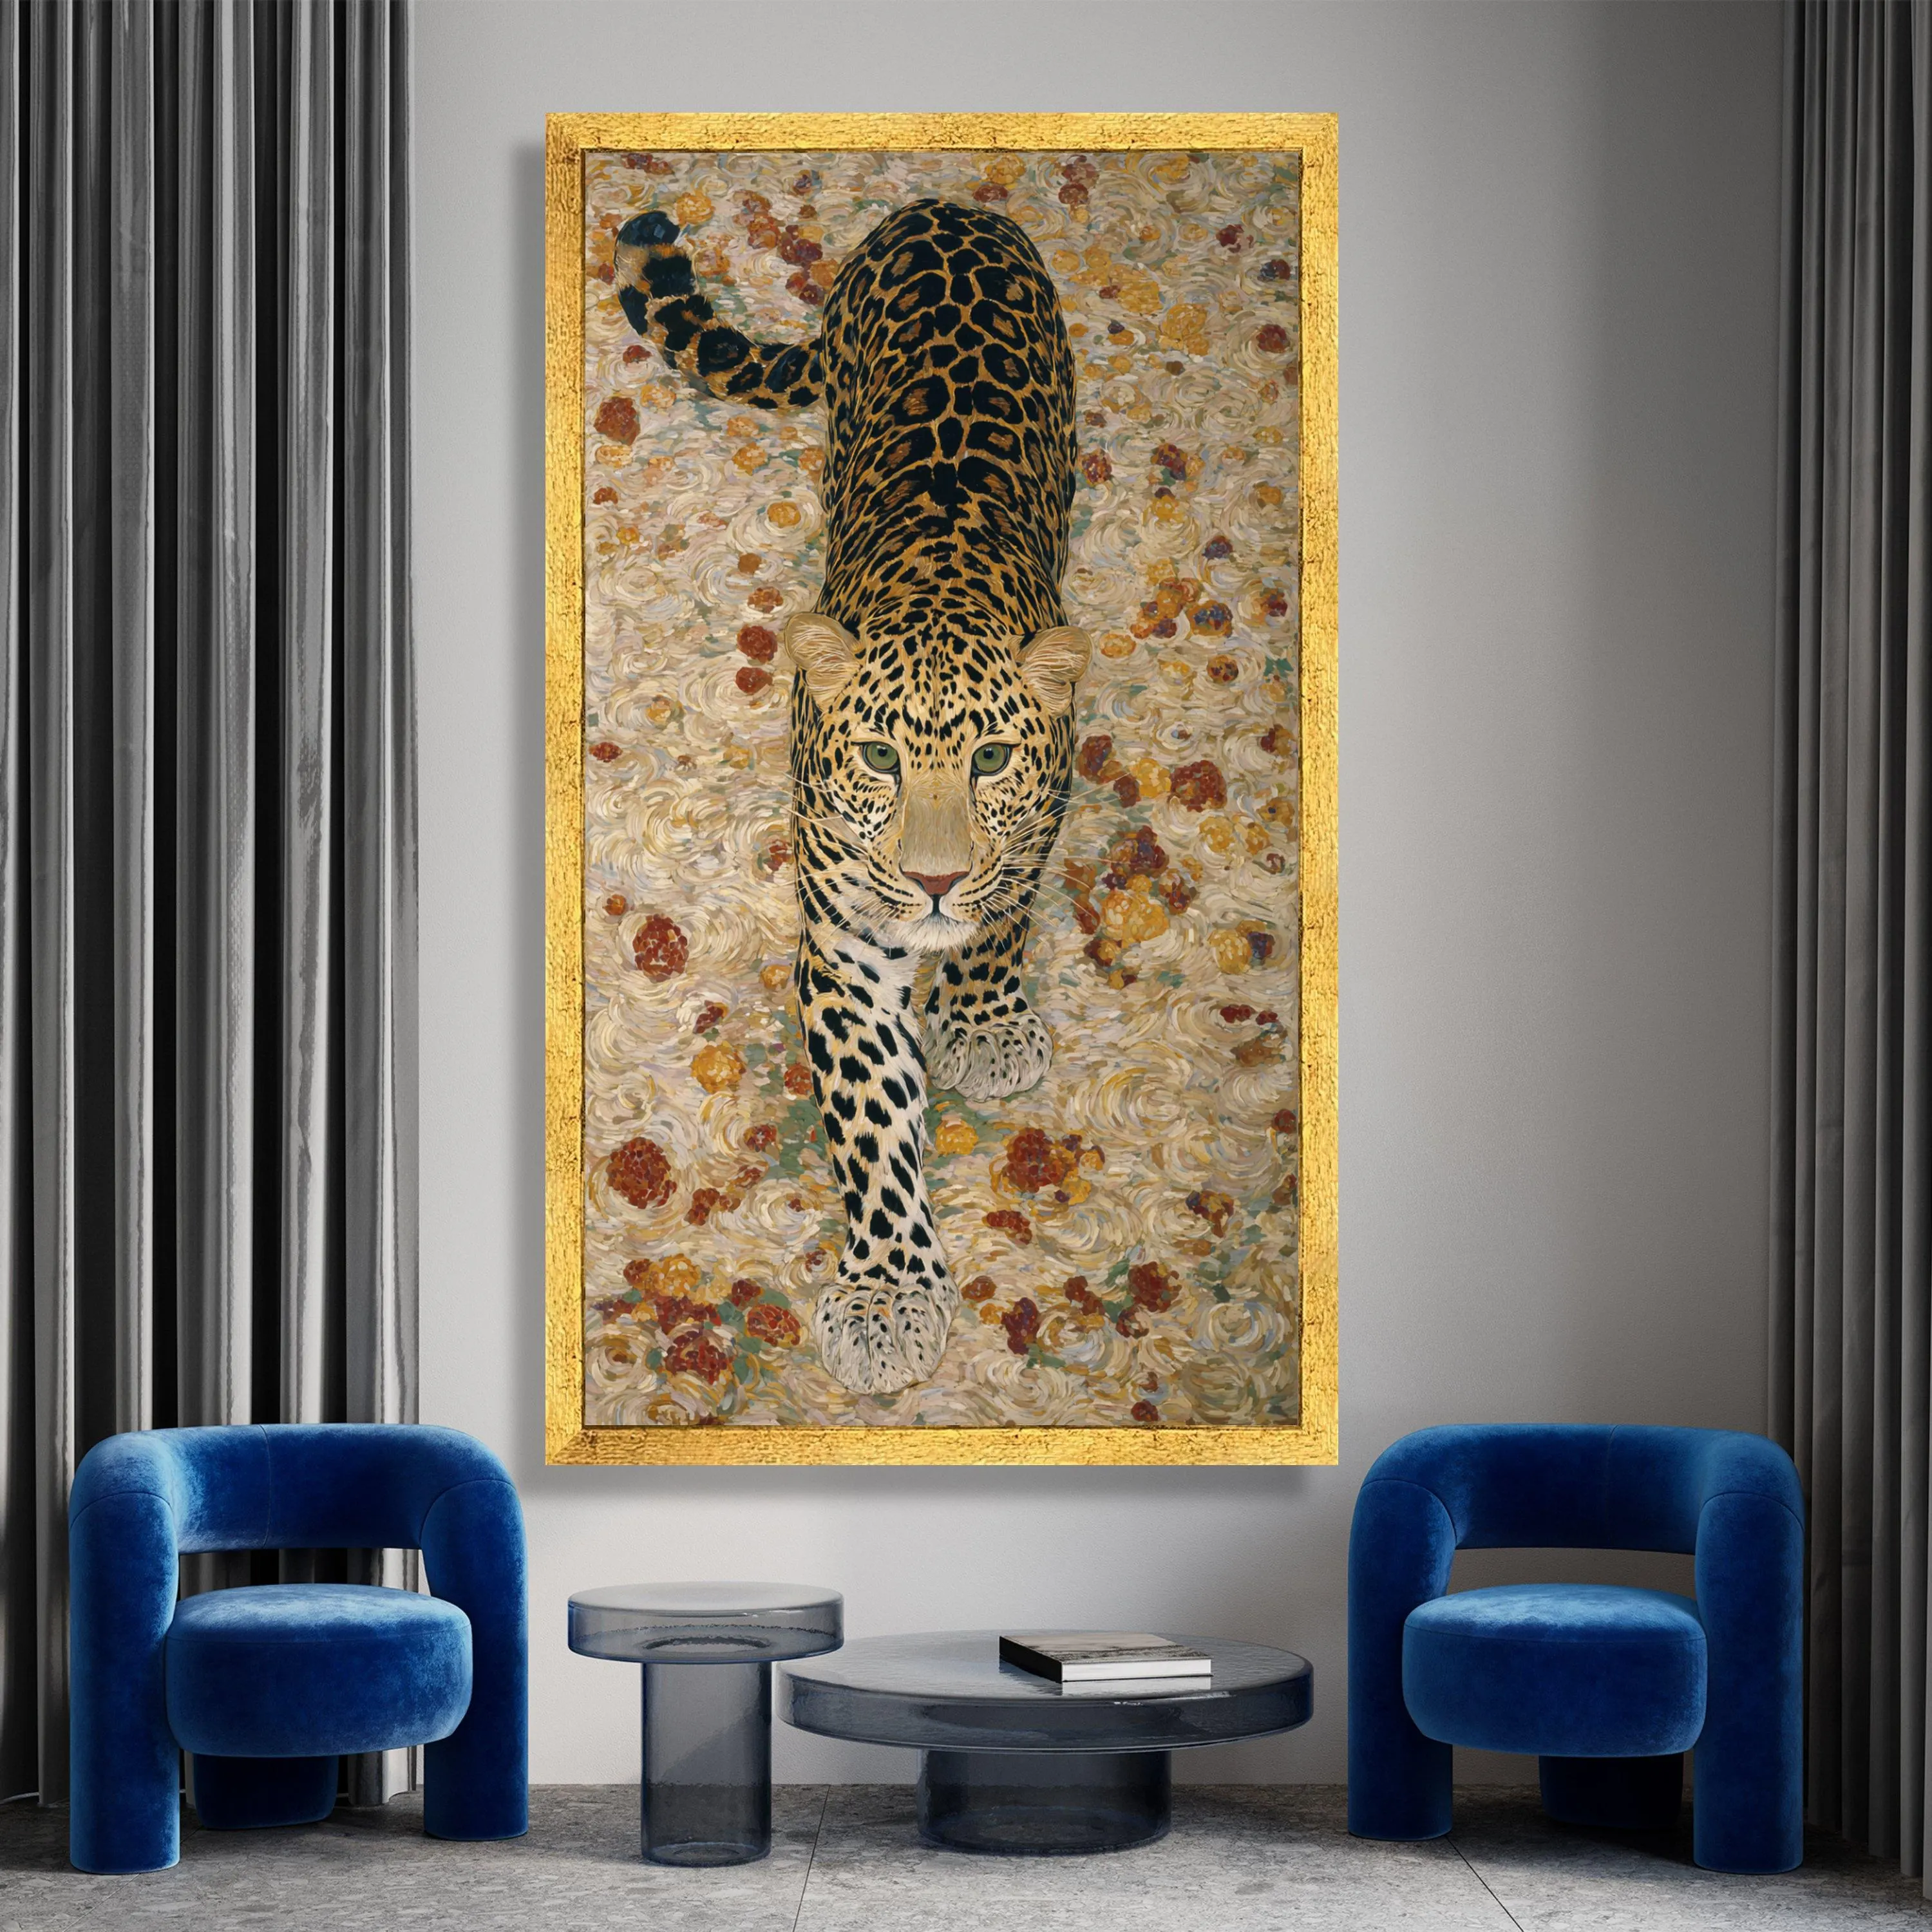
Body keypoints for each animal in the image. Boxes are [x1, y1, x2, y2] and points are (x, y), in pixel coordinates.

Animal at [614, 194, 1090, 1396]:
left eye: (992, 762)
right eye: (877, 759)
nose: (932, 882)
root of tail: (940, 208)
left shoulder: (1036, 824)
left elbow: (1002, 916)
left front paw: (986, 1017)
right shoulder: (844, 943)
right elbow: (873, 1121)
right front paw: (887, 1299)